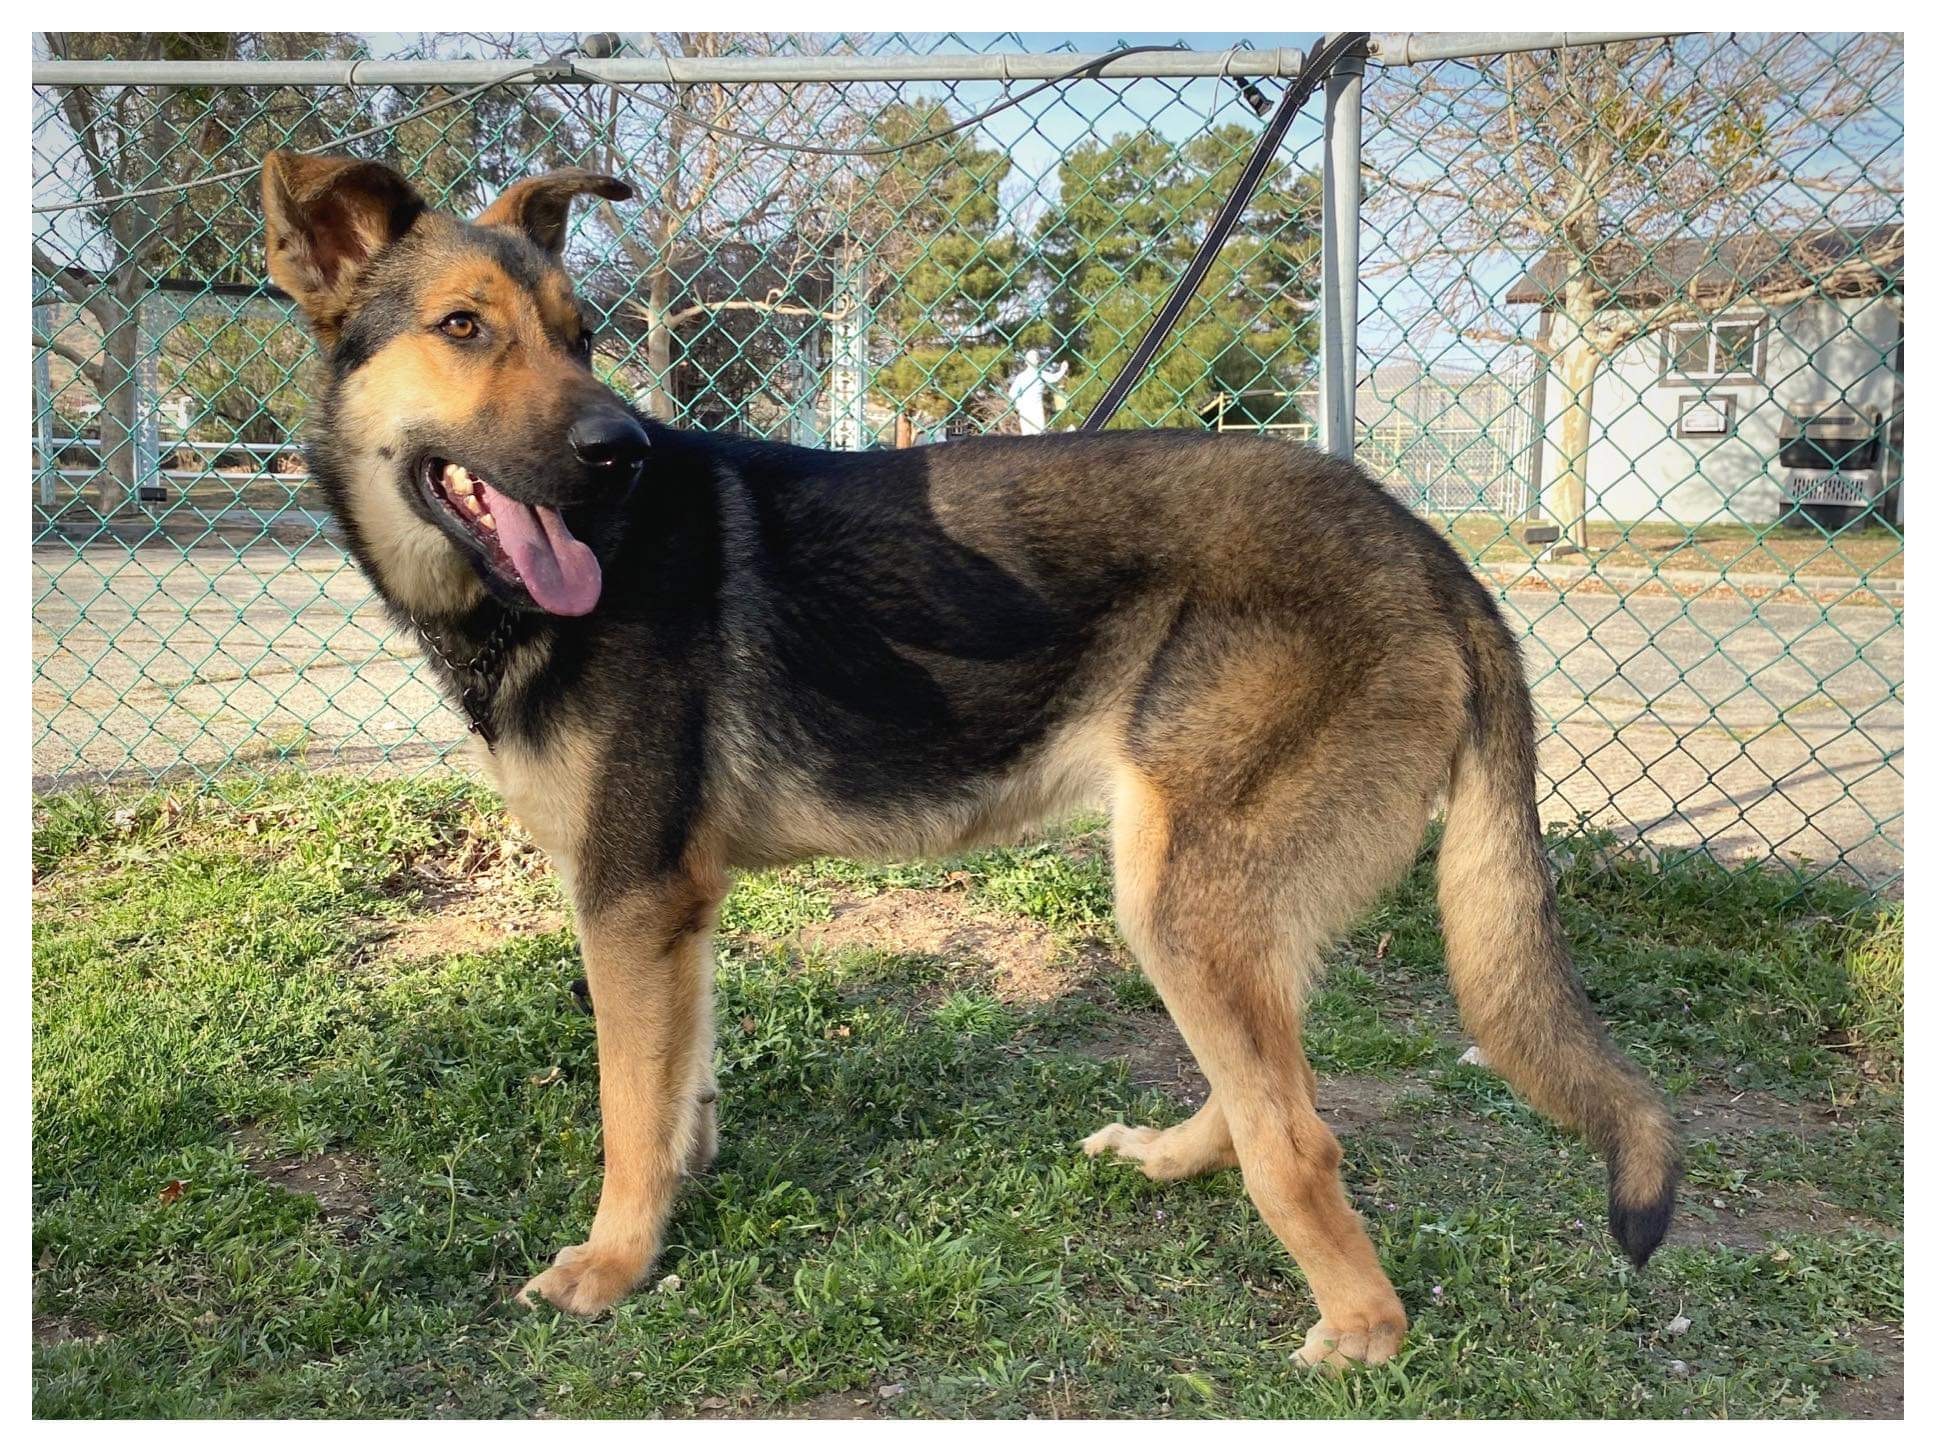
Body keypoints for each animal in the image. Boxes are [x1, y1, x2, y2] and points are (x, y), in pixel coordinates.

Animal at [261, 153, 1680, 1370]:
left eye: (581, 336)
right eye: (463, 328)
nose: (622, 450)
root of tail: (1429, 549)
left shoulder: (628, 898)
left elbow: (624, 1112)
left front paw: (613, 1266)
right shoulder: (673, 911)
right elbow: (676, 1093)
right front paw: (676, 1194)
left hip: (1176, 894)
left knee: (1302, 1141)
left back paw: (1359, 1328)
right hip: (1214, 900)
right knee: (1268, 1086)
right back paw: (1179, 1160)